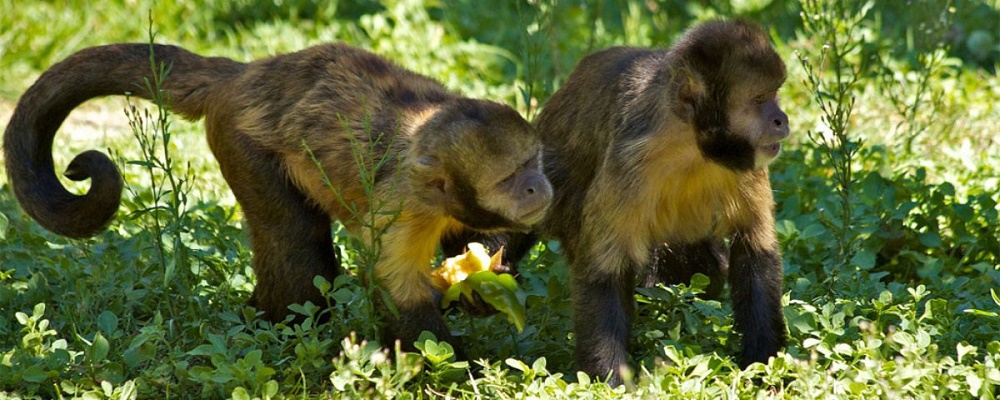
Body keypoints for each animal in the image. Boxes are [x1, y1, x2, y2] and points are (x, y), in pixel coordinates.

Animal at [1, 42, 556, 350]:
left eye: (533, 163)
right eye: (510, 178)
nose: (537, 186)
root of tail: (249, 72)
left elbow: (475, 242)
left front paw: (485, 284)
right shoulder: (405, 203)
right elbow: (395, 287)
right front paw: (448, 365)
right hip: (240, 138)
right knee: (295, 246)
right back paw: (270, 328)